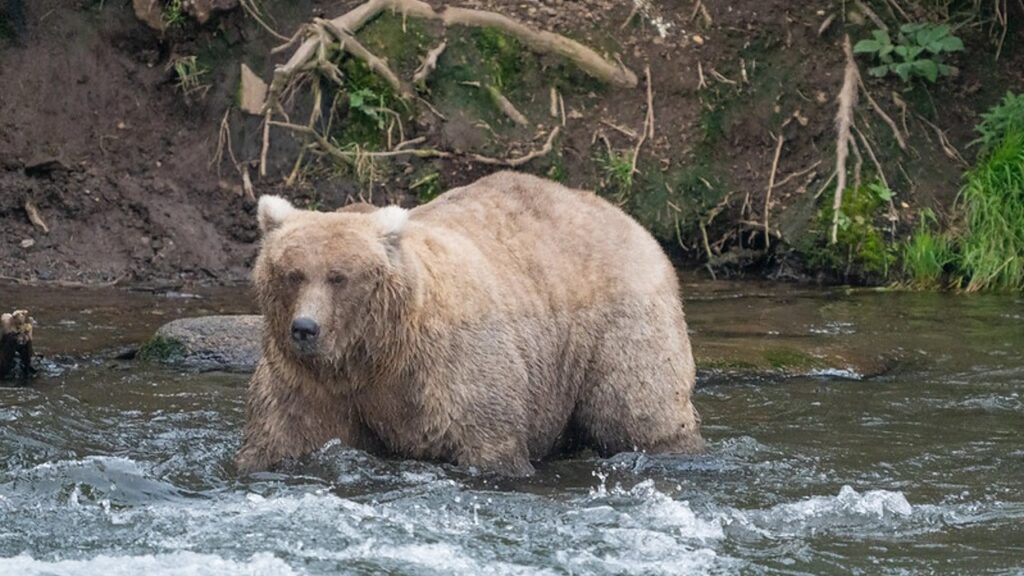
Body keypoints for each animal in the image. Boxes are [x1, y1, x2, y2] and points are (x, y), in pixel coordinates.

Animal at [236, 171, 702, 476]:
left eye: (339, 276)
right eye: (292, 273)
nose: (305, 328)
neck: (375, 353)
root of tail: (627, 218)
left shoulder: (449, 369)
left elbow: (487, 440)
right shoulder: (309, 382)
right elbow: (283, 435)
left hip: (618, 324)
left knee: (638, 408)